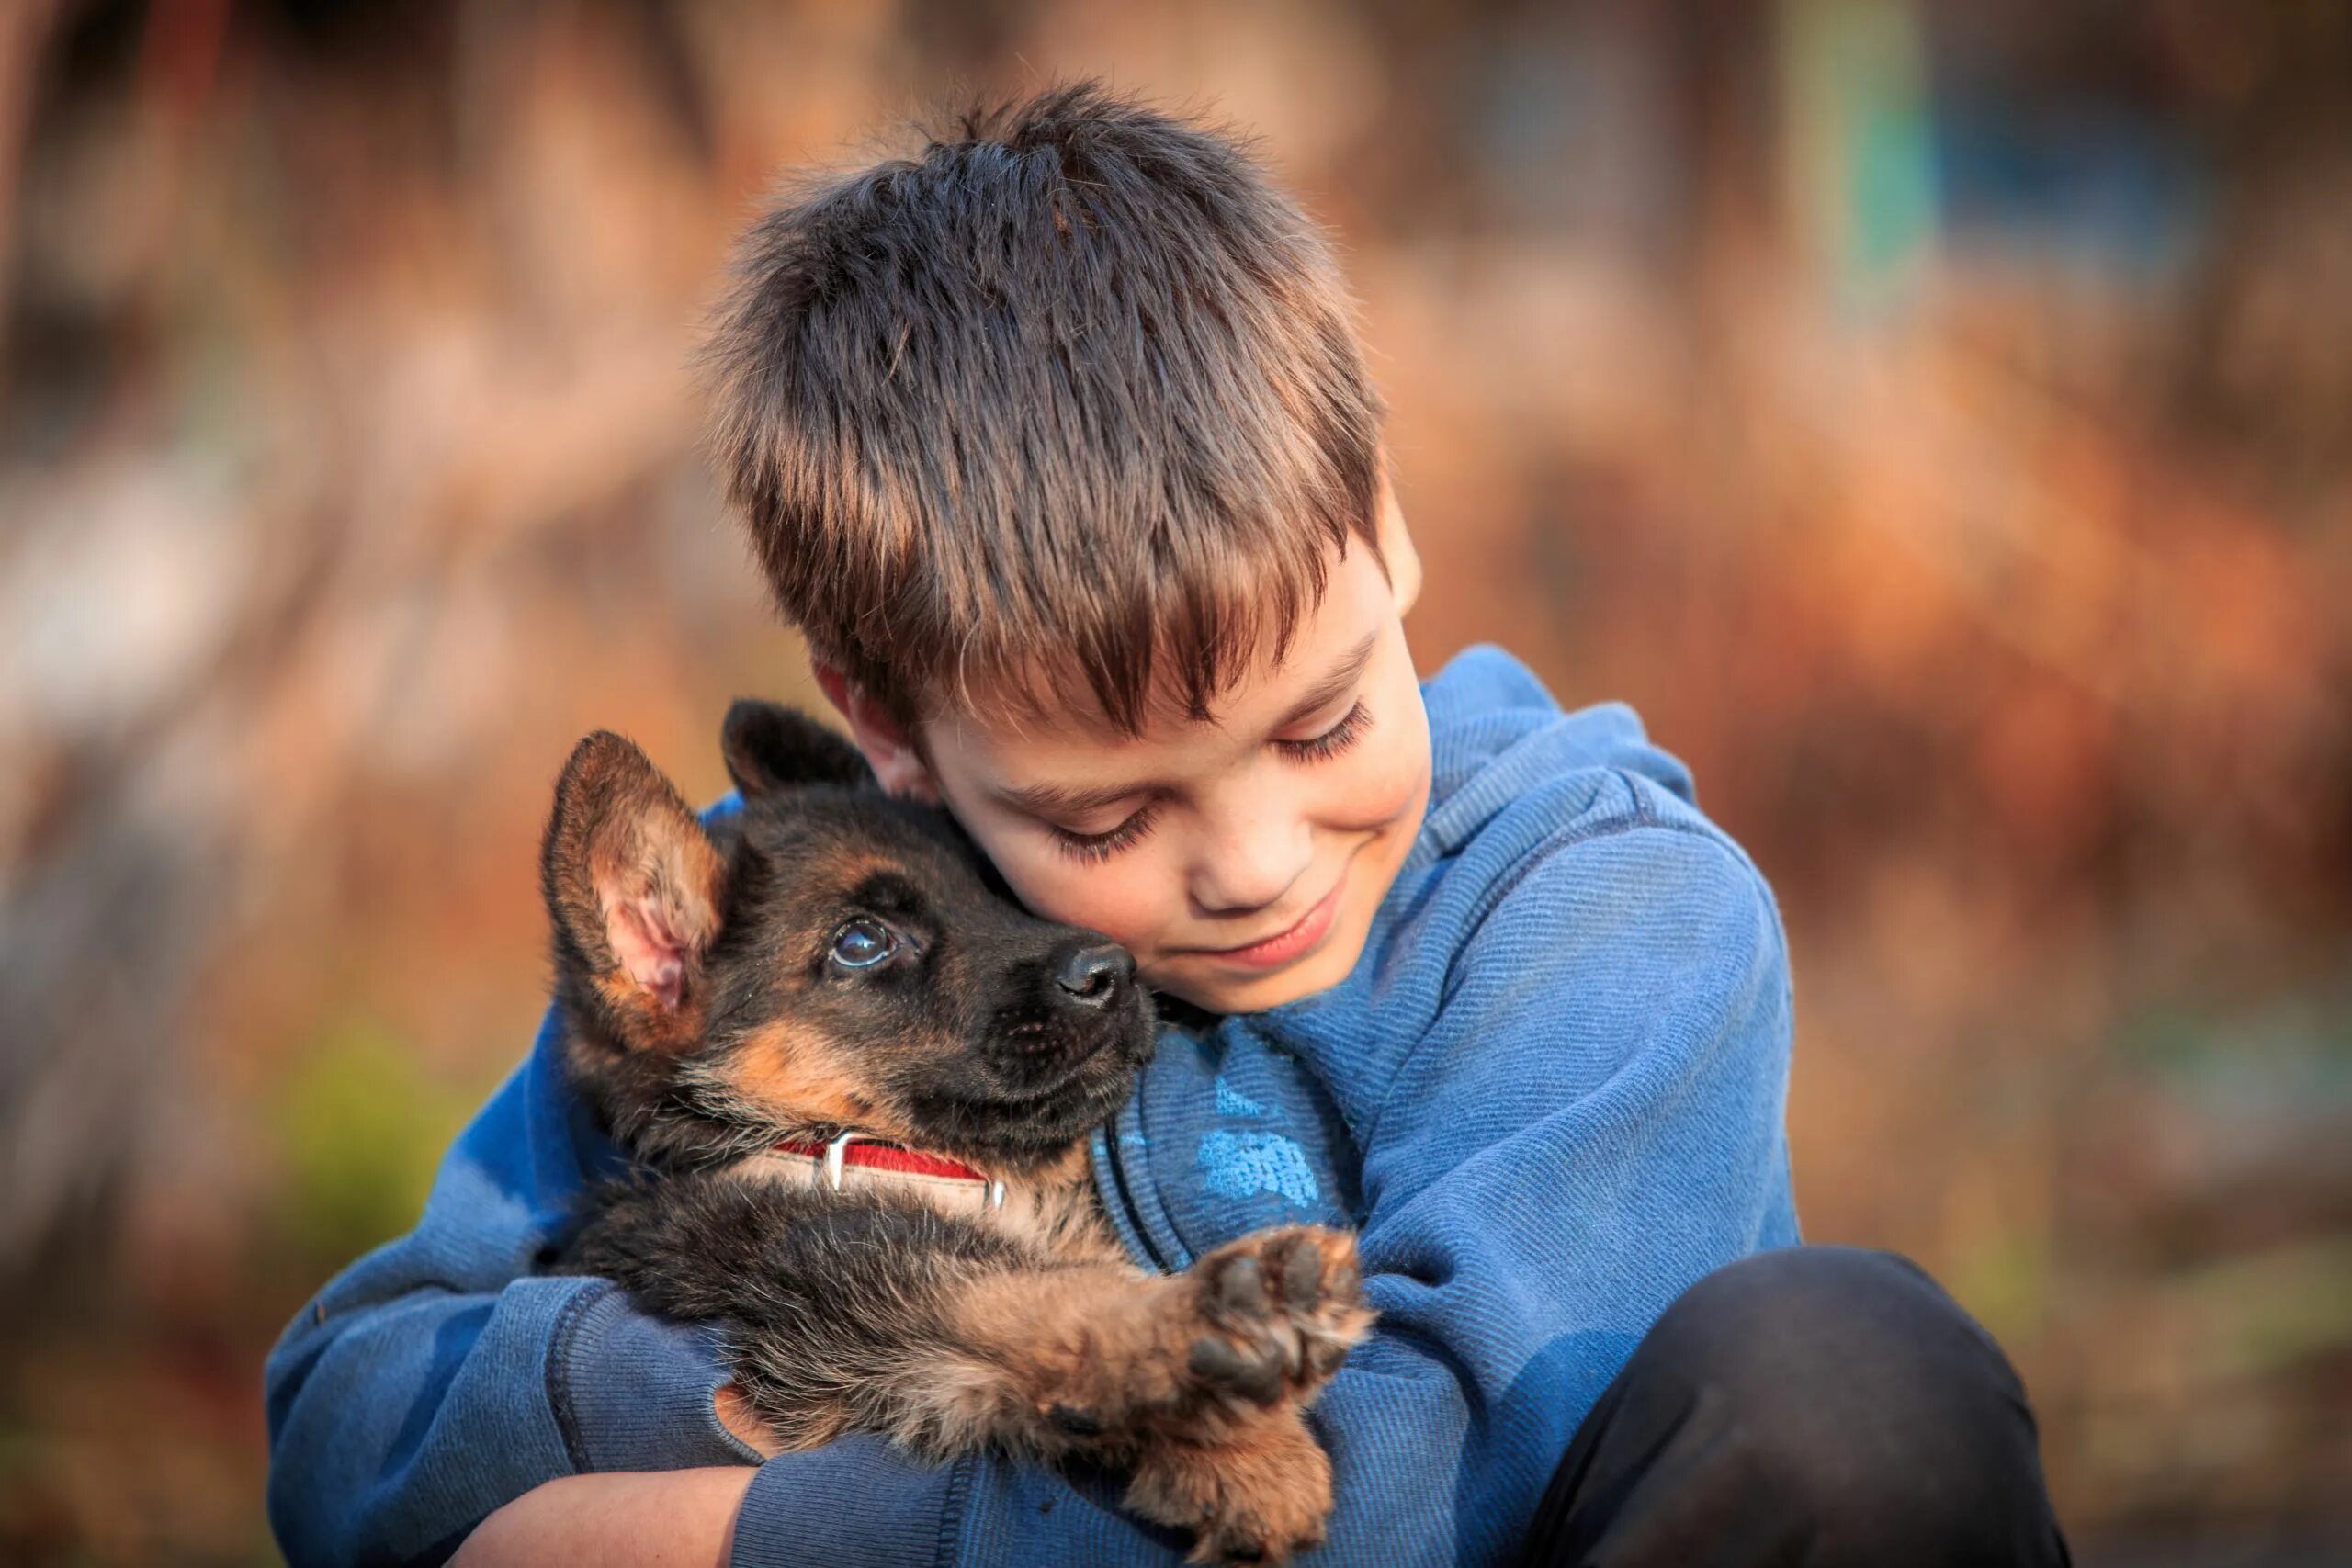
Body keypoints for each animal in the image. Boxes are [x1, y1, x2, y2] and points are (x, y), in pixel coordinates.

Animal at [534, 705, 1374, 1561]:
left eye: (995, 887)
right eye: (860, 941)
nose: (1114, 969)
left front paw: (1234, 1442)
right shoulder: (829, 1273)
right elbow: (1036, 1291)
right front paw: (1233, 1335)